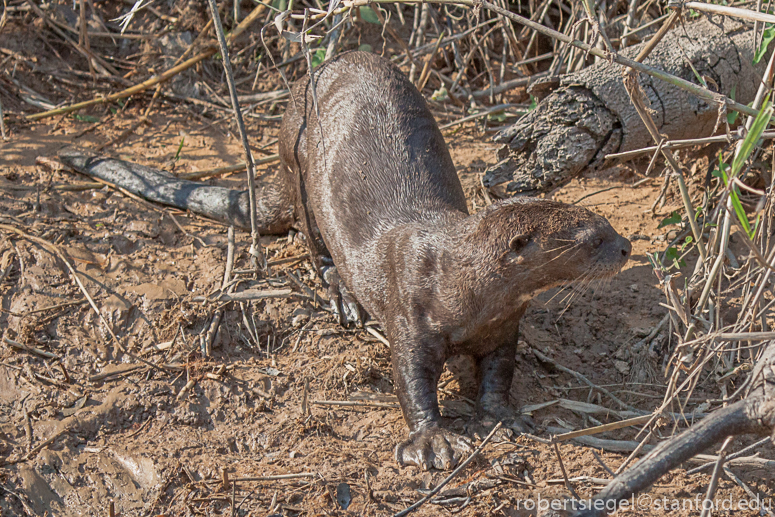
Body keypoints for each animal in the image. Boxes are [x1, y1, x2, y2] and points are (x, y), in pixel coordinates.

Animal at [58, 51, 630, 471]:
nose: (626, 247)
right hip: (298, 164)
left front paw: (507, 417)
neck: (460, 283)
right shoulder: (409, 309)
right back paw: (343, 300)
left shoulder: (505, 325)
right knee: (315, 246)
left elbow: (498, 375)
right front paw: (433, 442)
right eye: (591, 237)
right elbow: (410, 379)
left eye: (607, 223)